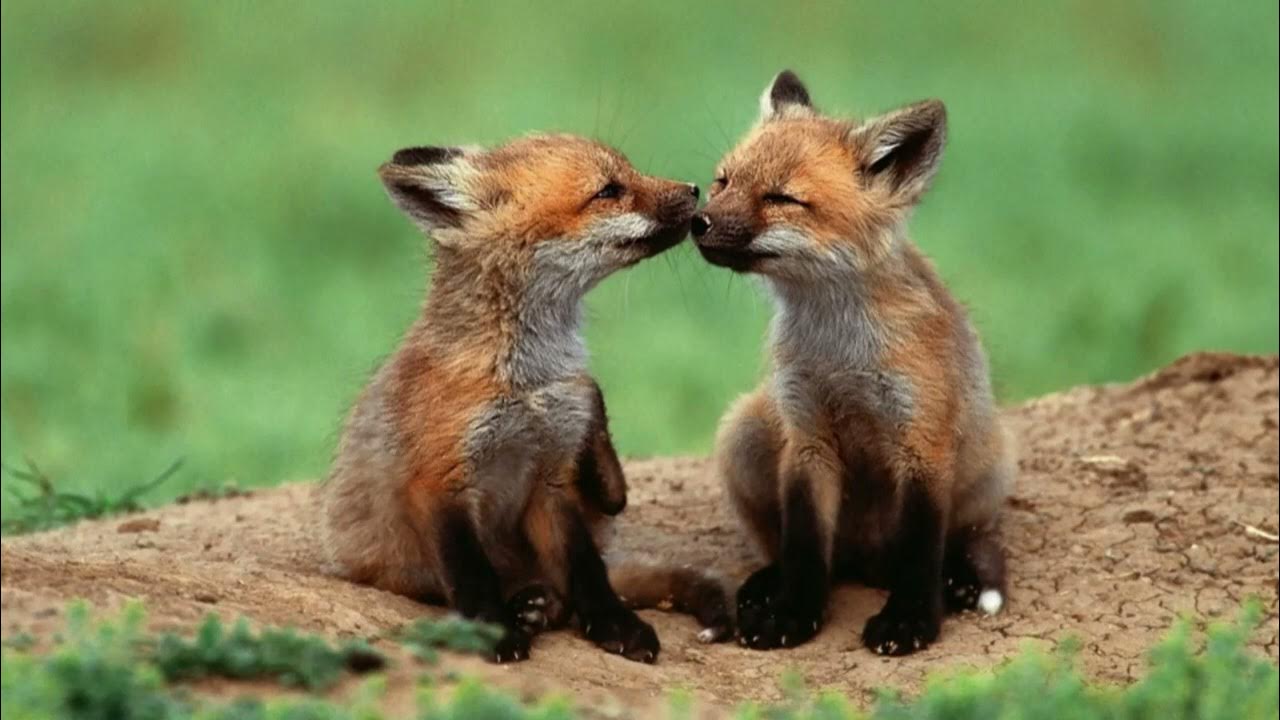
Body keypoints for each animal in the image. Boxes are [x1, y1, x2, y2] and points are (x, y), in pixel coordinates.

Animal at [319, 134, 731, 664]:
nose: (695, 189)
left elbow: (587, 569)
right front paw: (492, 633)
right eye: (608, 190)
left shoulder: (551, 477)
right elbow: (472, 575)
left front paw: (614, 624)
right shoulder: (438, 482)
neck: (527, 382)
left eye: (629, 171)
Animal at [691, 71, 1013, 656]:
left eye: (781, 198)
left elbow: (918, 551)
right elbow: (804, 546)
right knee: (814, 556)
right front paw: (793, 614)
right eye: (723, 181)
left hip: (989, 464)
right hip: (743, 430)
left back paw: (956, 577)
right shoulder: (806, 435)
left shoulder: (923, 442)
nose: (696, 221)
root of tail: (866, 562)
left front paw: (909, 622)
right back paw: (768, 582)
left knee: (957, 540)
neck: (838, 351)